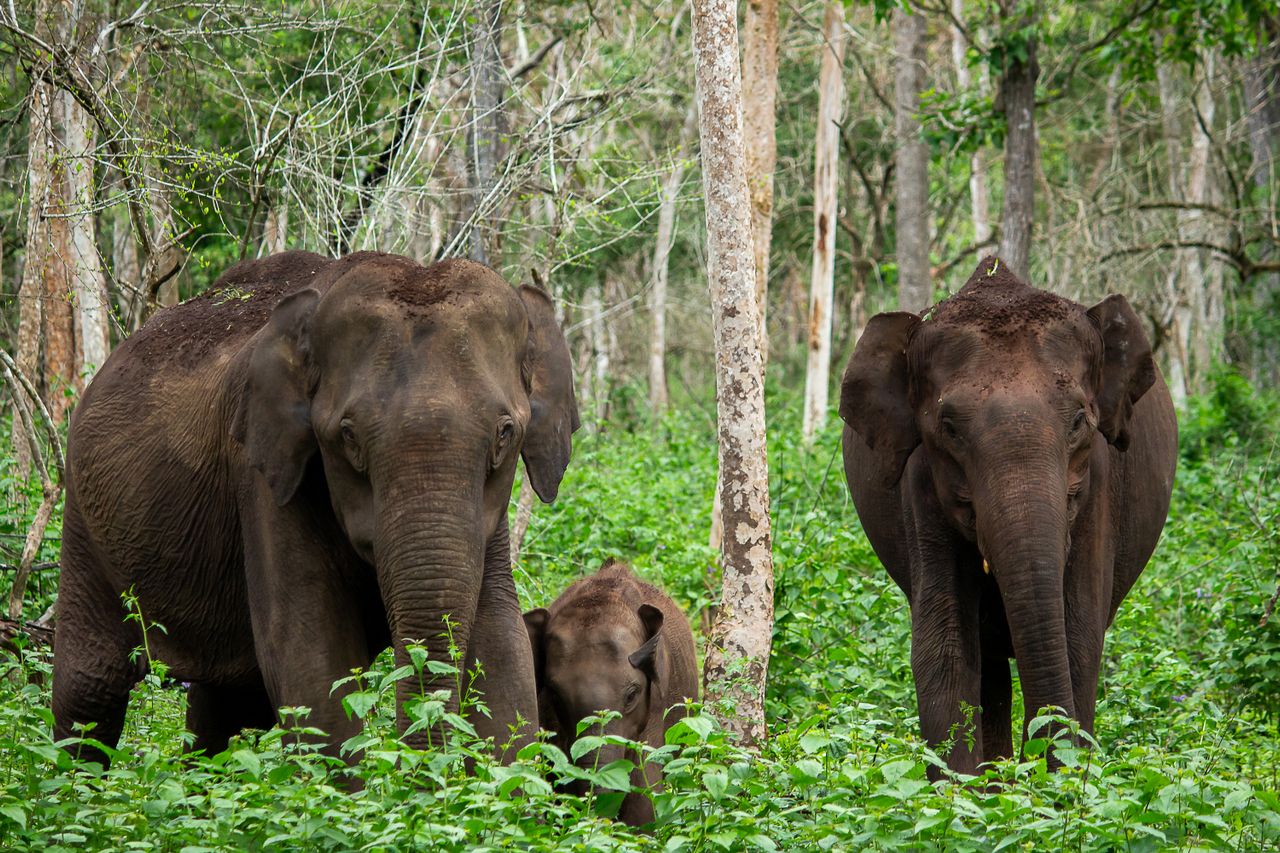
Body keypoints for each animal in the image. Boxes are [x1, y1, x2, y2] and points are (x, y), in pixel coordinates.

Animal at [52, 250, 579, 767]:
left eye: (505, 434)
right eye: (348, 437)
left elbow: (502, 645)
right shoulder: (263, 474)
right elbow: (307, 650)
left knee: (223, 705)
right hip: (82, 511)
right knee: (90, 687)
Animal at [839, 257, 1177, 776]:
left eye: (1079, 420)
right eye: (949, 428)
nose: (1039, 763)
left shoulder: (1100, 486)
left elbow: (1078, 635)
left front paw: (1060, 787)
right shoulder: (919, 483)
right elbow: (943, 644)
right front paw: (962, 793)